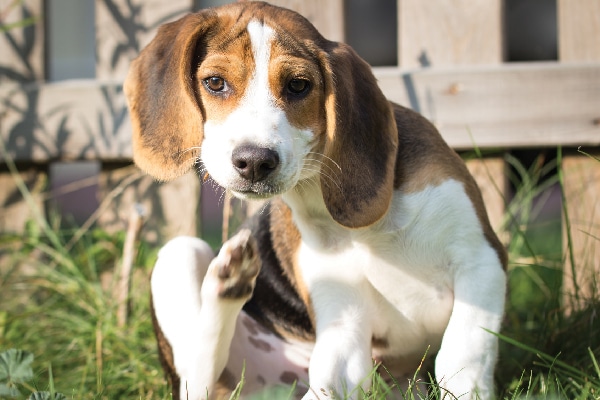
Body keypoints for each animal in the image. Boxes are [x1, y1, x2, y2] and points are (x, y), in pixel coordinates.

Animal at [125, 1, 506, 398]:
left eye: (298, 85)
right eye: (215, 82)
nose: (254, 160)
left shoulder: (481, 260)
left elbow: (462, 357)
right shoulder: (344, 318)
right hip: (178, 254)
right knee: (195, 377)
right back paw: (227, 281)